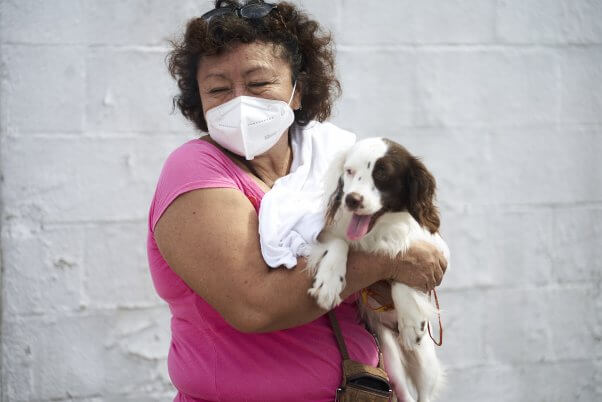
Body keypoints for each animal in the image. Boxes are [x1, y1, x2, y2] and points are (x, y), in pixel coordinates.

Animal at [310, 137, 446, 402]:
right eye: (349, 171)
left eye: (382, 174)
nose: (351, 199)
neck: (376, 232)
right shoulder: (327, 234)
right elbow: (339, 243)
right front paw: (329, 282)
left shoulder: (435, 251)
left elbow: (403, 263)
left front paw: (410, 319)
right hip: (388, 356)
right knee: (404, 393)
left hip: (424, 360)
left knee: (423, 395)